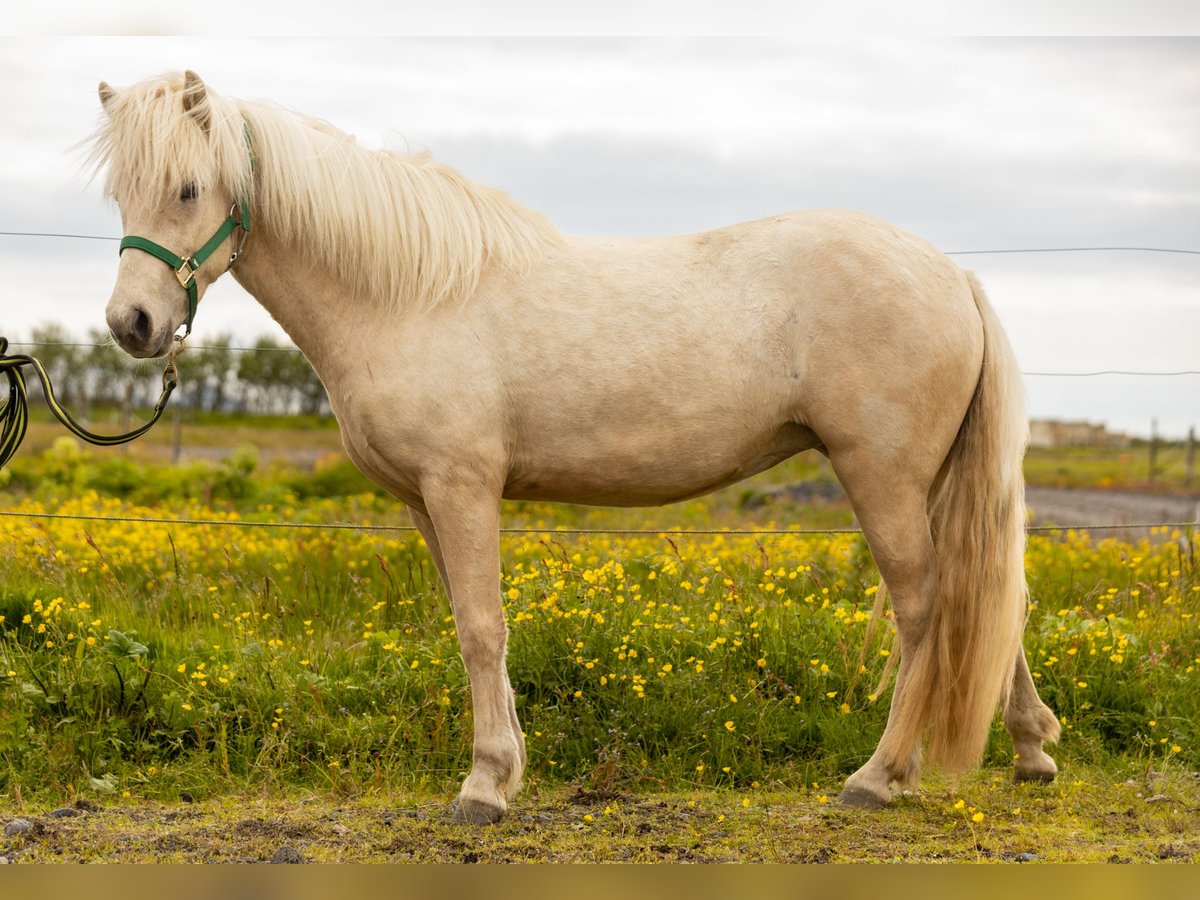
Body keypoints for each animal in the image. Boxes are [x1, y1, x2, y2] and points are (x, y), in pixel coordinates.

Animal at [87, 70, 1060, 825]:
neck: (408, 294)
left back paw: (879, 776)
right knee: (986, 597)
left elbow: (483, 628)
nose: (133, 325)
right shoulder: (425, 501)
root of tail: (952, 274)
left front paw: (483, 786)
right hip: (930, 482)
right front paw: (508, 764)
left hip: (881, 475)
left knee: (928, 604)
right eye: (121, 194)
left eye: (187, 188)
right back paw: (1029, 750)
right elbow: (470, 624)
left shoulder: (463, 485)